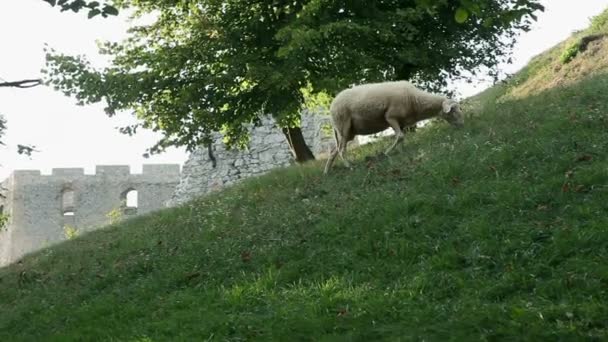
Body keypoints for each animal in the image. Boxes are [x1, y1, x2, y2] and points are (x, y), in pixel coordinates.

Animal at [326, 80, 464, 174]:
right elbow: (400, 136)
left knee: (334, 150)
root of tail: (332, 107)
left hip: (347, 132)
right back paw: (349, 166)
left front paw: (402, 152)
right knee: (341, 150)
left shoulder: (401, 122)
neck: (415, 100)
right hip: (343, 126)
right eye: (453, 111)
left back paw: (327, 171)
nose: (462, 125)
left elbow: (401, 138)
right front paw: (386, 153)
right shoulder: (391, 117)